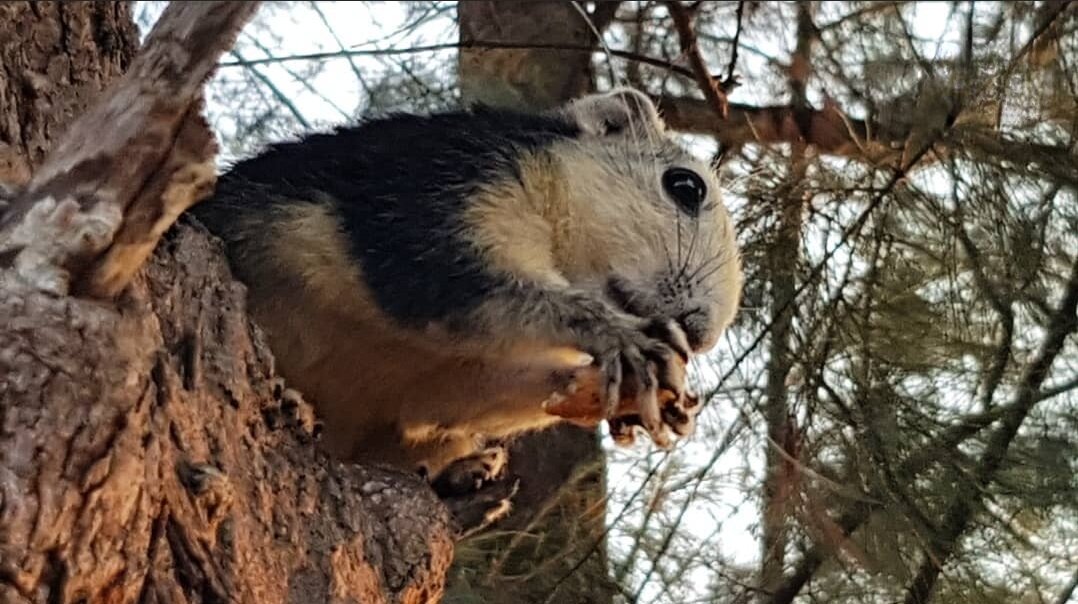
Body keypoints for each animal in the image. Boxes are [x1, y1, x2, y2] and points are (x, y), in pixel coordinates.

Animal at [189, 88, 743, 500]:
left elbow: (467, 391)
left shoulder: (442, 378)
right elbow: (472, 286)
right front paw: (627, 340)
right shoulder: (439, 197)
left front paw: (641, 403)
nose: (699, 333)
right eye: (685, 186)